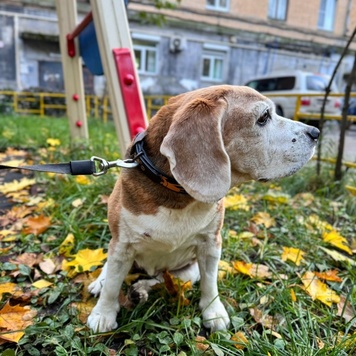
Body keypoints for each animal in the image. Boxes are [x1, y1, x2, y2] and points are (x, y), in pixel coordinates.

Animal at [86, 85, 320, 332]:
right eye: (264, 117)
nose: (316, 132)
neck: (177, 196)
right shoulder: (122, 246)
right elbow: (112, 285)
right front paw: (103, 314)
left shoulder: (210, 245)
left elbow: (210, 283)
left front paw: (213, 313)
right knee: (110, 270)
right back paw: (100, 282)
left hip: (186, 273)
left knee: (158, 281)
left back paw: (139, 291)